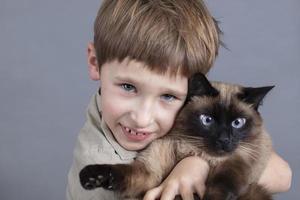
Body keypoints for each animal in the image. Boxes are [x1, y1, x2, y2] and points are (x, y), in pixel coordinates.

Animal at [79, 73, 274, 200]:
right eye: (207, 120)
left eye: (237, 123)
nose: (224, 140)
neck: (194, 152)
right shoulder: (150, 175)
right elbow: (119, 171)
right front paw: (90, 177)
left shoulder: (236, 163)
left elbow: (221, 186)